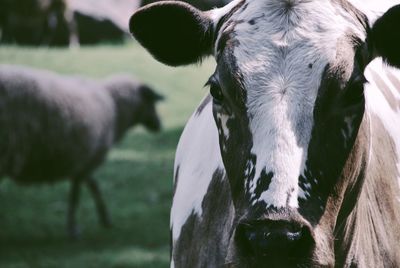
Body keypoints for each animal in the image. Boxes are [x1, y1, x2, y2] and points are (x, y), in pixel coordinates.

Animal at [0, 64, 164, 237]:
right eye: (150, 101)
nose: (159, 125)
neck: (115, 108)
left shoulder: (83, 162)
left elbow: (93, 186)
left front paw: (104, 219)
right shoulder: (84, 160)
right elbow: (77, 195)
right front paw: (74, 229)